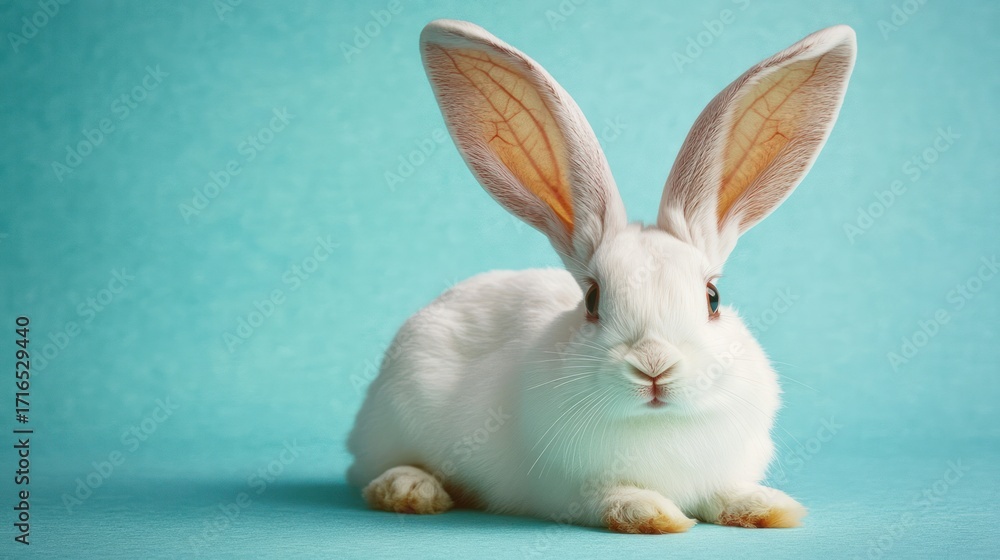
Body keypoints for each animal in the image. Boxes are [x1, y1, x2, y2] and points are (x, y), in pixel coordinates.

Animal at [347, 19, 855, 533]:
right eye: (592, 299)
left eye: (712, 297)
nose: (654, 366)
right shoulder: (566, 490)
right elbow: (609, 497)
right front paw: (653, 515)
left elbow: (725, 492)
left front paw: (770, 508)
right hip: (394, 418)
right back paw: (410, 490)